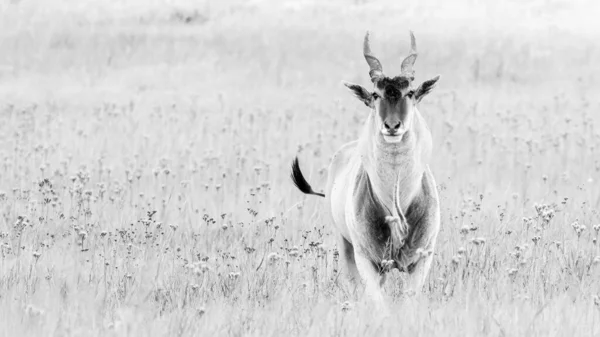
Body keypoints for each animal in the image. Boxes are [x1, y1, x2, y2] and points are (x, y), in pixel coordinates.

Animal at [292, 30, 442, 300]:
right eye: (375, 94)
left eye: (410, 92)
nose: (392, 126)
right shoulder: (366, 262)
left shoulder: (421, 261)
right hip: (346, 248)